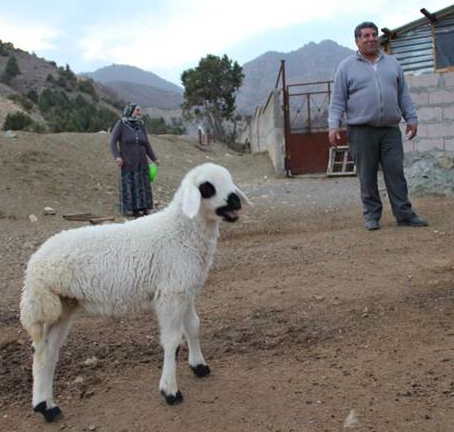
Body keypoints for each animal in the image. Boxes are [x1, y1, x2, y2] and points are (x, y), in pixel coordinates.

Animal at [20, 162, 248, 422]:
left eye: (229, 180)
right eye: (207, 188)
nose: (236, 201)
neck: (180, 231)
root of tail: (34, 262)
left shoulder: (184, 288)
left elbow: (193, 326)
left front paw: (199, 366)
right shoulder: (170, 295)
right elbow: (172, 341)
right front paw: (170, 390)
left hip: (64, 305)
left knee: (46, 351)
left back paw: (45, 406)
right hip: (45, 304)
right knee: (44, 349)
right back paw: (45, 405)